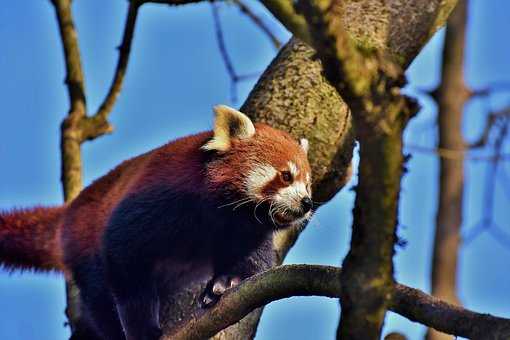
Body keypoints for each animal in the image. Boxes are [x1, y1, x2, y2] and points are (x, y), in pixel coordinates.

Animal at [0, 106, 310, 340]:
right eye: (286, 176)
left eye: (308, 184)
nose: (307, 203)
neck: (223, 213)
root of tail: (71, 211)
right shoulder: (161, 197)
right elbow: (125, 259)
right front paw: (143, 329)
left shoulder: (246, 230)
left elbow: (255, 264)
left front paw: (225, 283)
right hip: (84, 241)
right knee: (99, 295)